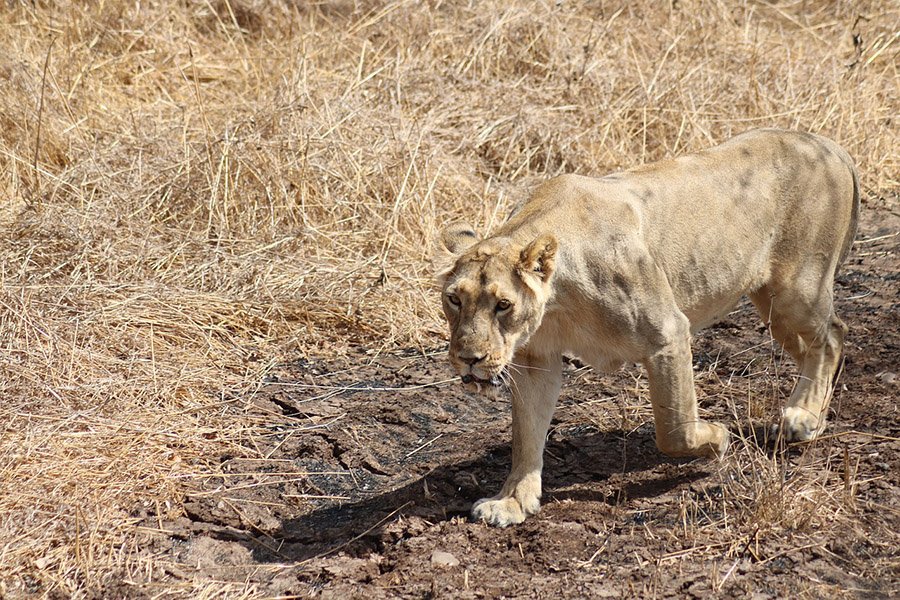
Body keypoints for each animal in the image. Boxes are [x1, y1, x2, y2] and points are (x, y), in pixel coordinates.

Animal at [434, 129, 859, 527]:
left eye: (503, 305)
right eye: (454, 299)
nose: (468, 359)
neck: (558, 302)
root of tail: (828, 144)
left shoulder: (667, 333)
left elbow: (674, 428)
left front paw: (716, 438)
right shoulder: (535, 358)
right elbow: (526, 436)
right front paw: (512, 502)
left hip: (796, 289)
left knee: (833, 334)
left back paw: (804, 417)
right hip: (770, 303)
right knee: (811, 347)